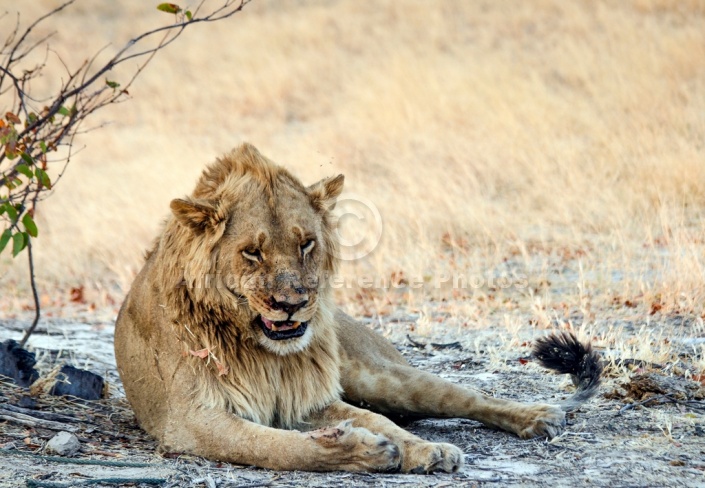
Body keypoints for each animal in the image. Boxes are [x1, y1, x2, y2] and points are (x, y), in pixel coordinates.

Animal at [114, 144, 600, 472]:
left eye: (306, 244)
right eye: (252, 252)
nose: (292, 305)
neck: (263, 351)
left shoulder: (309, 400)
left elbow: (371, 422)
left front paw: (419, 449)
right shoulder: (191, 419)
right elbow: (275, 447)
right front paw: (362, 450)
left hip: (384, 377)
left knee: (464, 396)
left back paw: (538, 417)